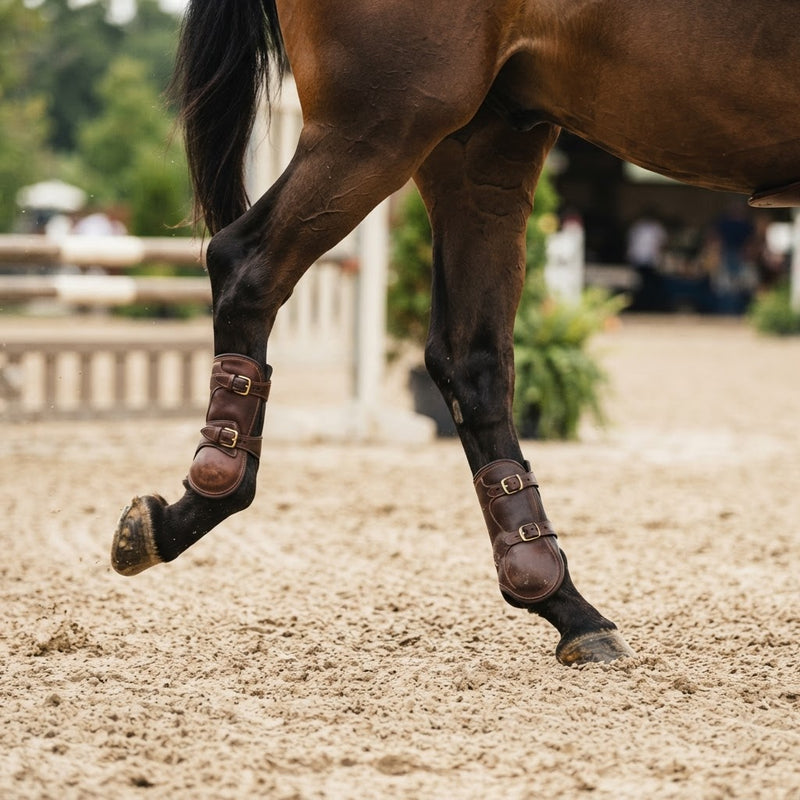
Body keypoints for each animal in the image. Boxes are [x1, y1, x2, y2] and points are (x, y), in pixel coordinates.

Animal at [111, 0, 800, 665]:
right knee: (246, 266)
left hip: (484, 142)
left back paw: (566, 606)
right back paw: (193, 503)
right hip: (385, 121)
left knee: (473, 361)